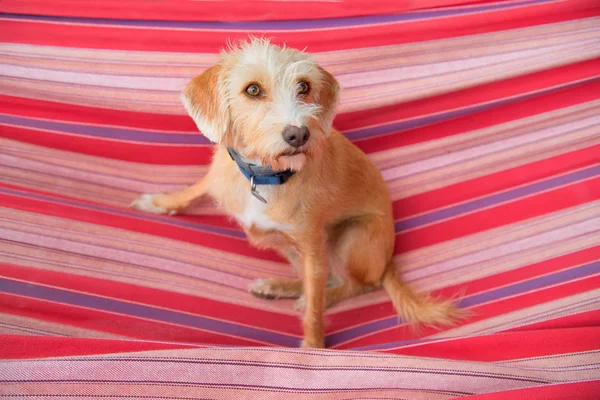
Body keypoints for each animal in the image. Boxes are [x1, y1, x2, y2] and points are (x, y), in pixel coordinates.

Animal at [130, 39, 460, 348]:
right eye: (252, 89)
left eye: (304, 87)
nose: (299, 134)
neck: (264, 176)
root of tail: (389, 260)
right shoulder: (219, 177)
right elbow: (192, 191)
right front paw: (157, 202)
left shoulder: (312, 247)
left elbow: (315, 309)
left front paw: (313, 346)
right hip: (289, 247)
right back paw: (278, 287)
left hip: (350, 237)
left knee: (357, 285)